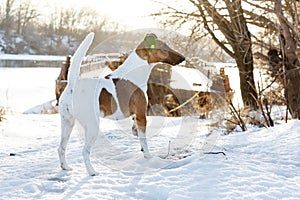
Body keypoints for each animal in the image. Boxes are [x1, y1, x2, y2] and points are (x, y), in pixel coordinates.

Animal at [58, 32, 185, 175]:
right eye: (164, 48)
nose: (183, 58)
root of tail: (72, 86)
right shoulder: (141, 115)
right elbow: (144, 140)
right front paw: (148, 157)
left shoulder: (136, 116)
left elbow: (137, 133)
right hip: (92, 127)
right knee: (84, 151)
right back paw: (92, 172)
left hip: (67, 123)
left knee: (61, 148)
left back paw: (65, 167)